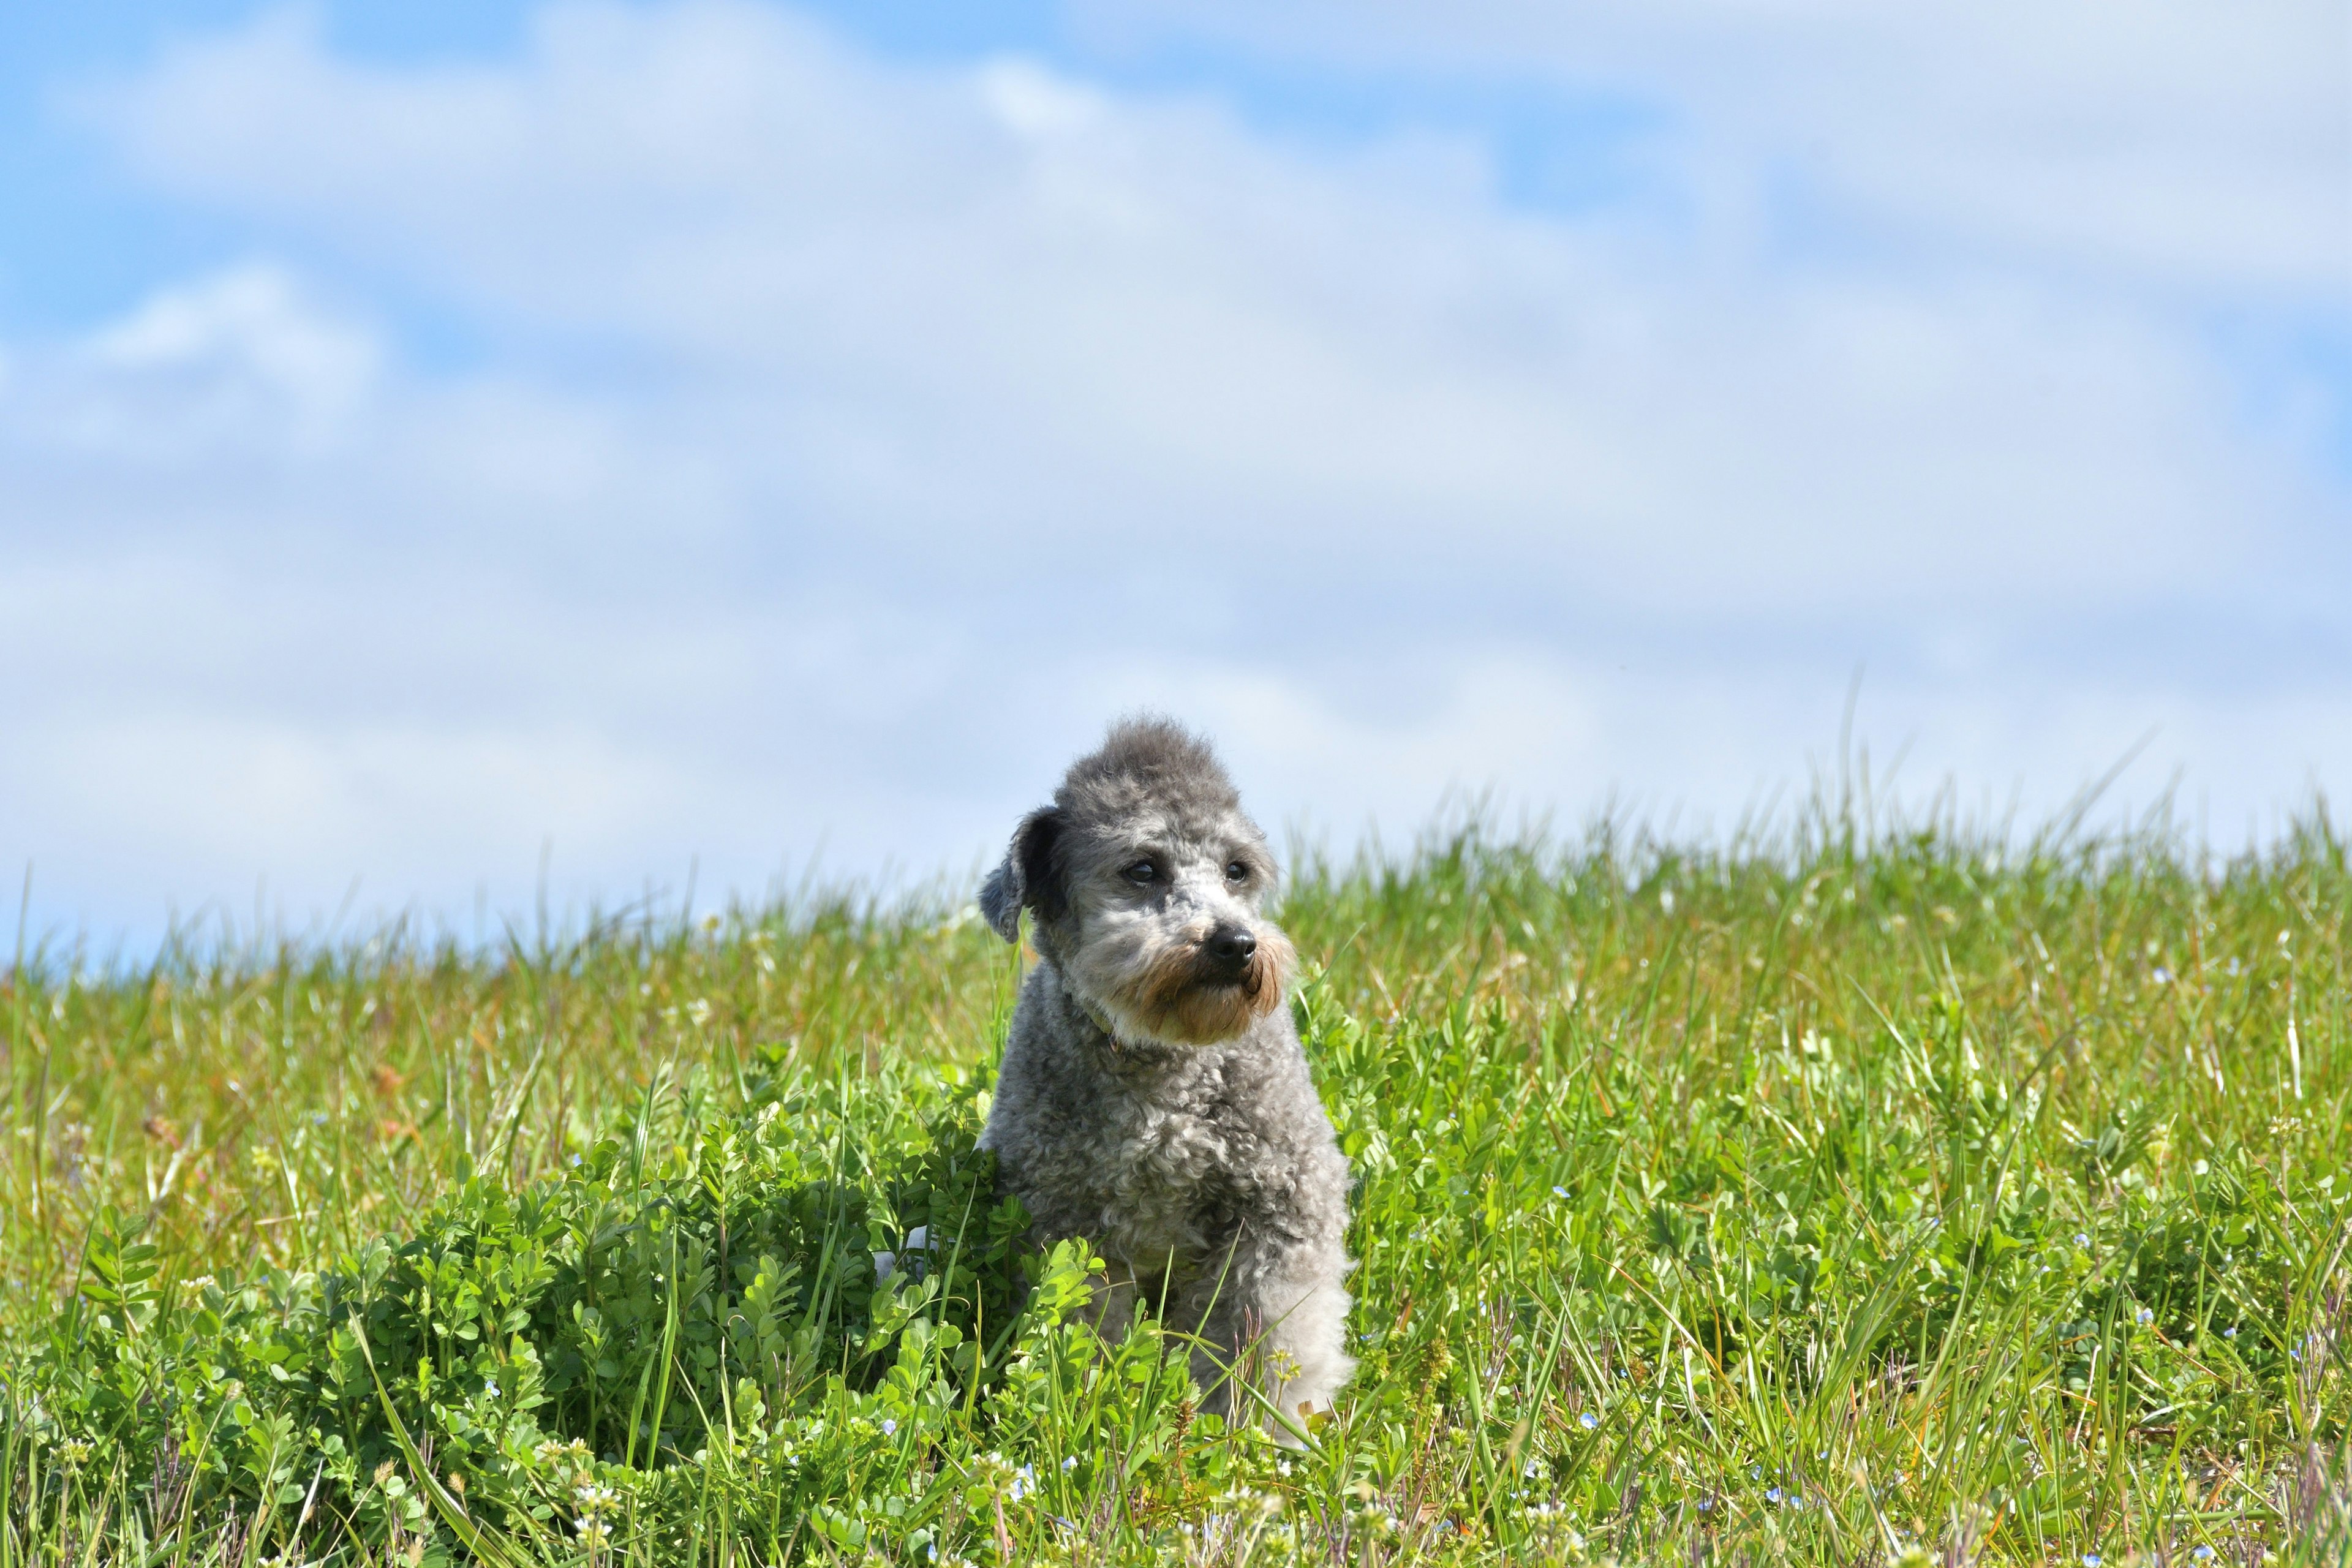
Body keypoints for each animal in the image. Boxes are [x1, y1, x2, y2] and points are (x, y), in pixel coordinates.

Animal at [978, 719, 1364, 1438]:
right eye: (1142, 870)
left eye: (1237, 870)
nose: (1236, 943)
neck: (1165, 1065)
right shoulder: (1070, 1229)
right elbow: (1091, 1329)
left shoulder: (1281, 1210)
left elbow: (1267, 1337)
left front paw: (1261, 1431)